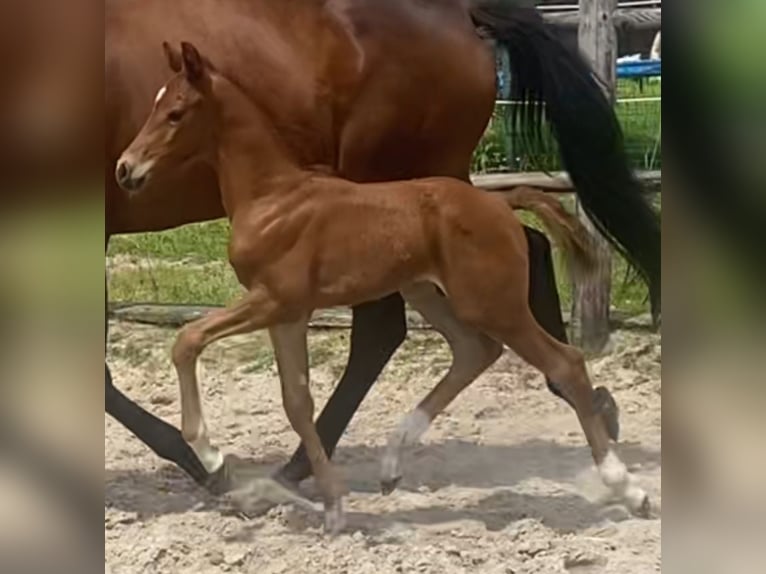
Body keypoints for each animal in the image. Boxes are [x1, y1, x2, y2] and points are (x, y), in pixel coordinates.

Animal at [117, 44, 652, 536]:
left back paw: (629, 489)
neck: (271, 198)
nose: (125, 168)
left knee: (564, 362)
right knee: (474, 351)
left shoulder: (273, 299)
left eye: (175, 112)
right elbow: (297, 402)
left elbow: (188, 340)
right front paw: (333, 508)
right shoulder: (288, 314)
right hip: (426, 292)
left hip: (492, 302)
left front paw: (209, 453)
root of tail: (500, 204)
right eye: (155, 105)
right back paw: (392, 464)